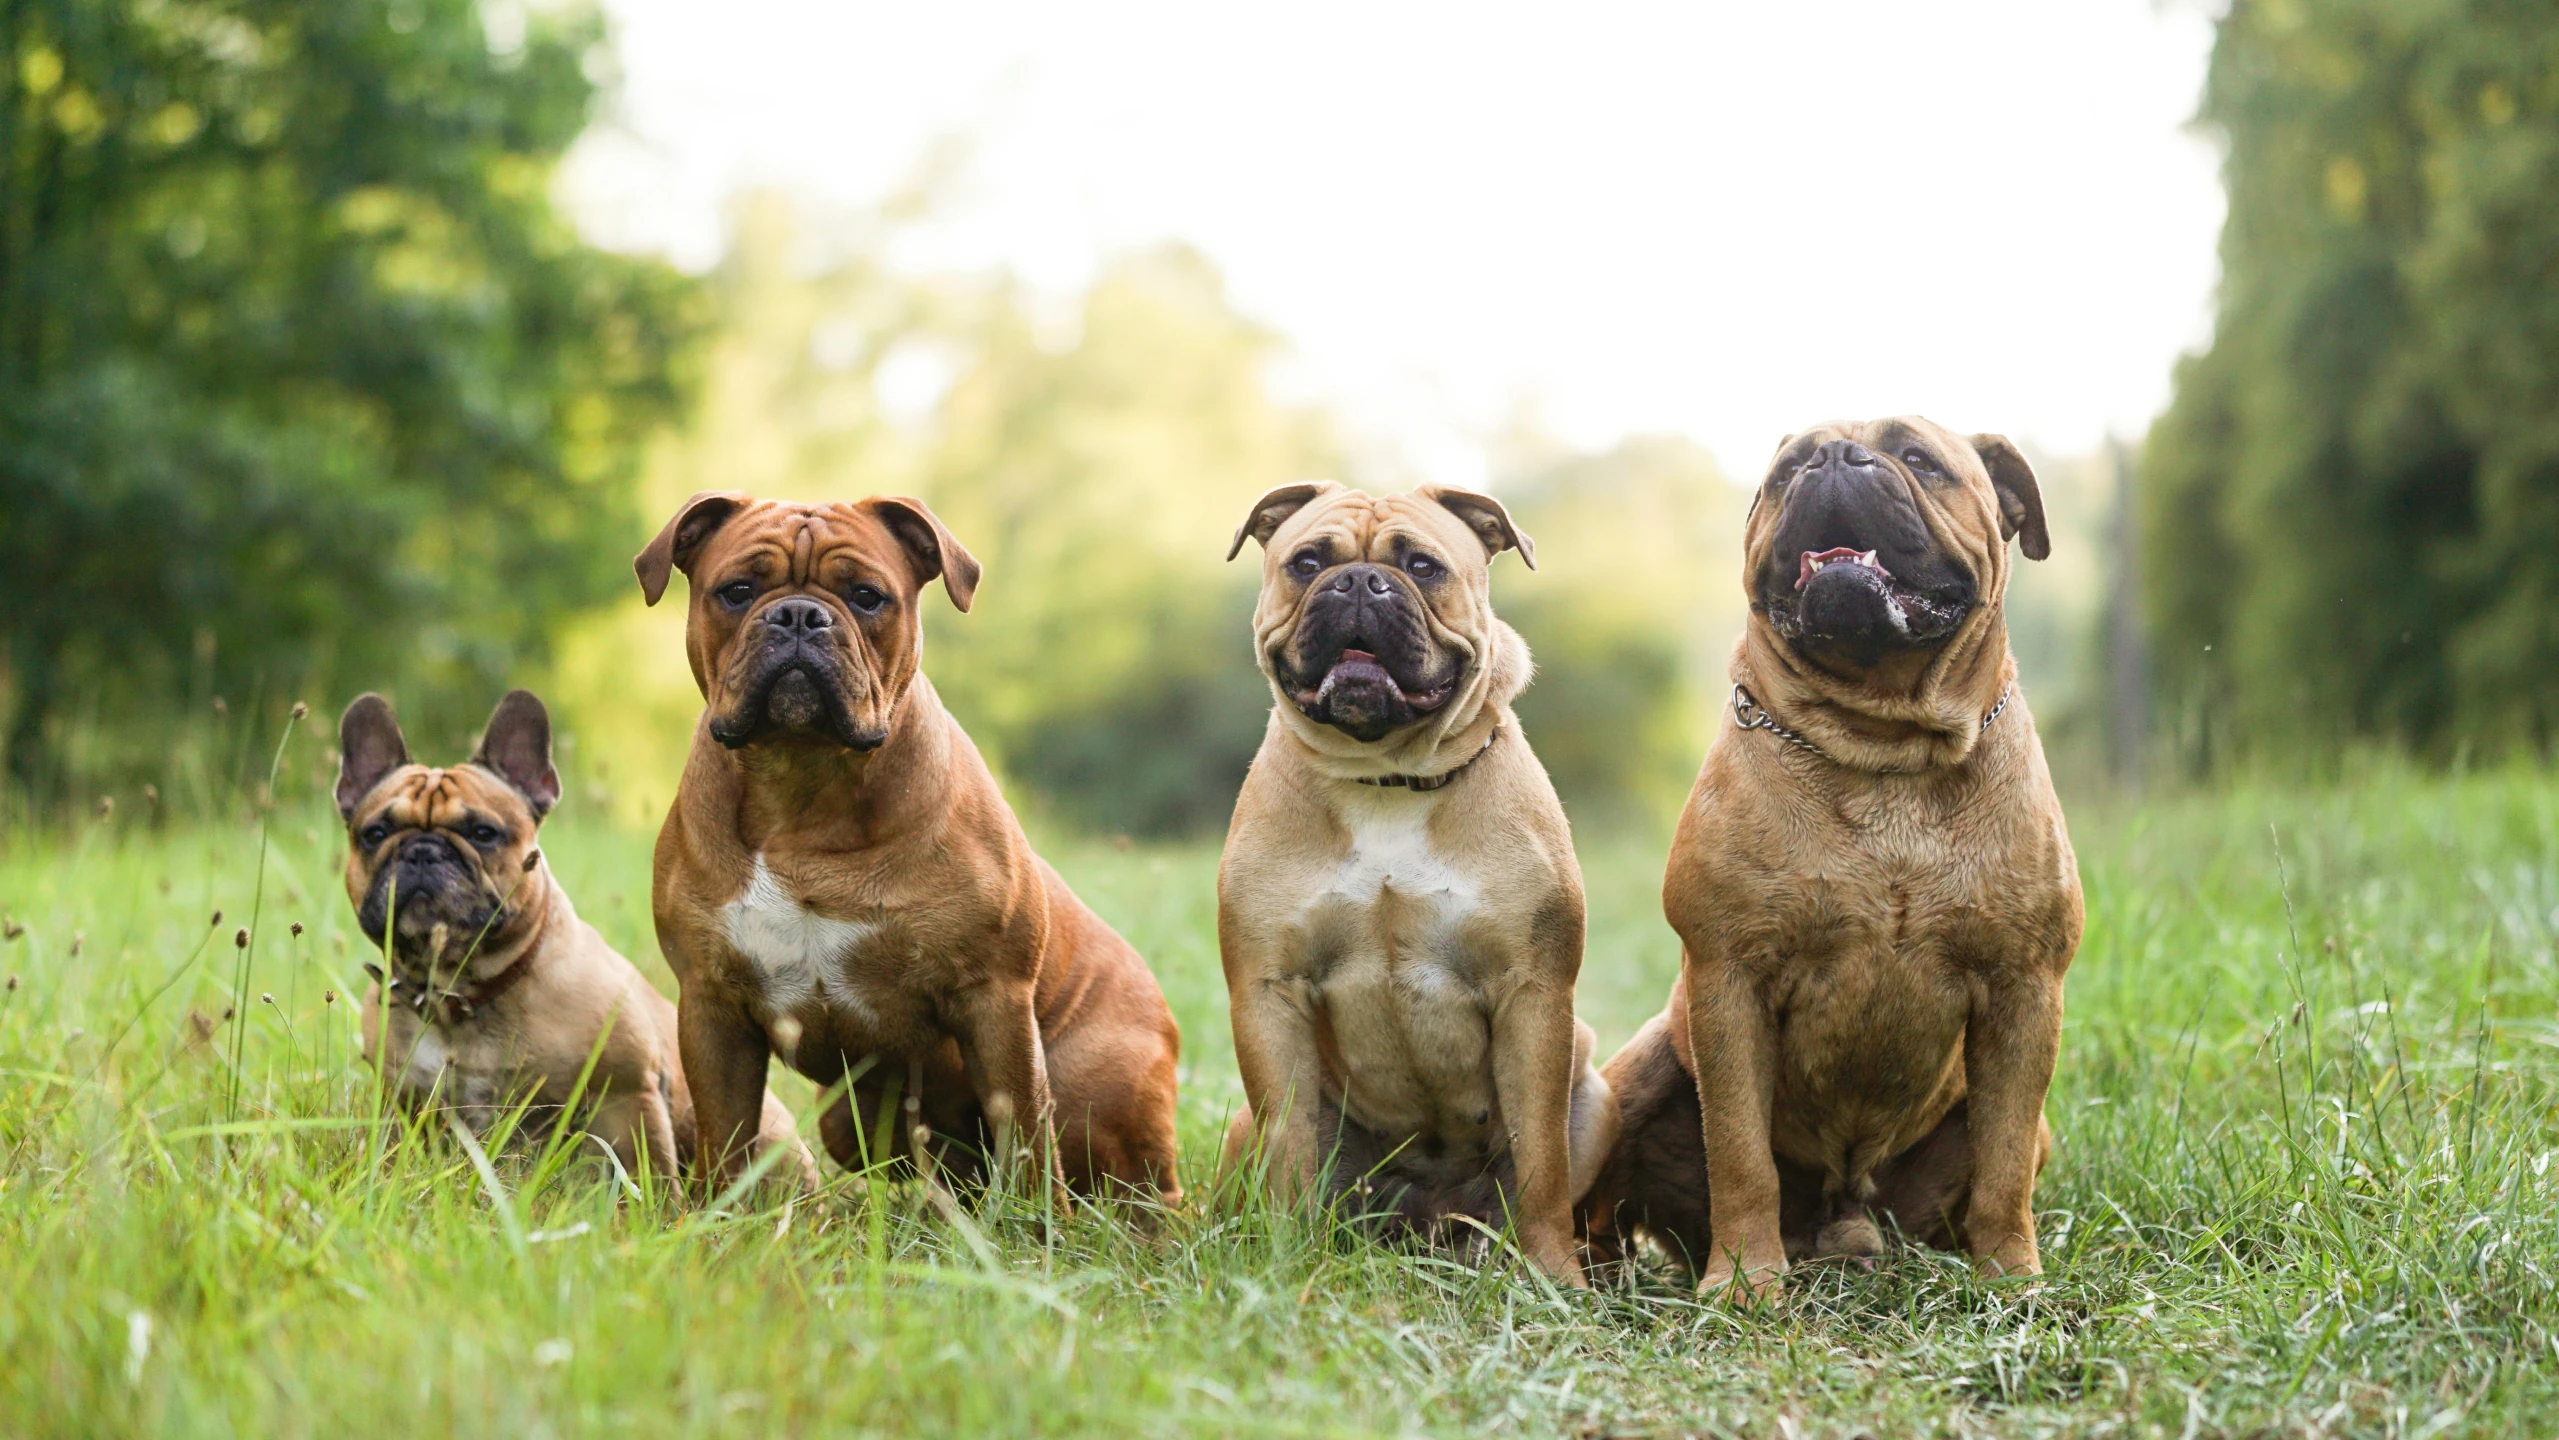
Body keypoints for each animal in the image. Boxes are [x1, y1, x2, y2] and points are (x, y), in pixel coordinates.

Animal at [335, 690, 803, 1186]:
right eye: (375, 833)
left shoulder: (626, 1095)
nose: (422, 852)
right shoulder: (406, 1104)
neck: (460, 992)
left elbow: (643, 1170)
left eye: (483, 833)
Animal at [639, 496, 1177, 1207]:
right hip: (846, 1119)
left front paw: (1038, 1228)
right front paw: (716, 1220)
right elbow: (724, 1140)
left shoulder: (994, 1000)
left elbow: (1026, 1135)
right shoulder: (711, 1007)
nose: (798, 615)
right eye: (737, 591)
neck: (804, 783)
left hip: (1098, 1093)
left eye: (868, 597)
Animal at [1223, 480, 1617, 1283]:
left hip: (1596, 1098)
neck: (1384, 776)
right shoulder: (1268, 993)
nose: (1357, 583)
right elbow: (1288, 1149)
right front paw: (1285, 1260)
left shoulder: (1532, 996)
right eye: (1306, 562)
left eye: (1422, 567)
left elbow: (1541, 1162)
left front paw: (1552, 1276)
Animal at [1586, 419, 2088, 1294]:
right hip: (1635, 1071)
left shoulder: (2025, 991)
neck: (1882, 744)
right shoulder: (1730, 983)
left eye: (1918, 459)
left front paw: (2011, 1281)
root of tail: (1842, 1213)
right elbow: (1740, 1153)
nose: (1829, 460)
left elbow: (2001, 1162)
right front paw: (1744, 1283)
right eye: (1784, 472)